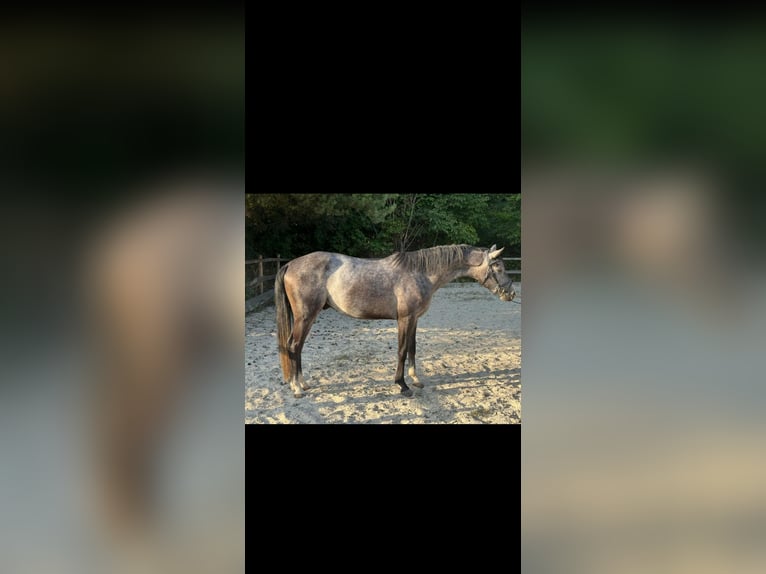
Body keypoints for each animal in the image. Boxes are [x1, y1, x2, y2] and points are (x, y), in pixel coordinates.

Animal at [274, 243, 515, 398]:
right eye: (499, 267)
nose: (511, 294)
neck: (420, 272)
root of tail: (290, 264)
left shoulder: (414, 319)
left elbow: (412, 348)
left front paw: (415, 379)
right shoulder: (404, 319)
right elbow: (401, 350)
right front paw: (402, 385)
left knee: (296, 347)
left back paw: (303, 384)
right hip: (306, 316)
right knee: (293, 346)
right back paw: (296, 388)